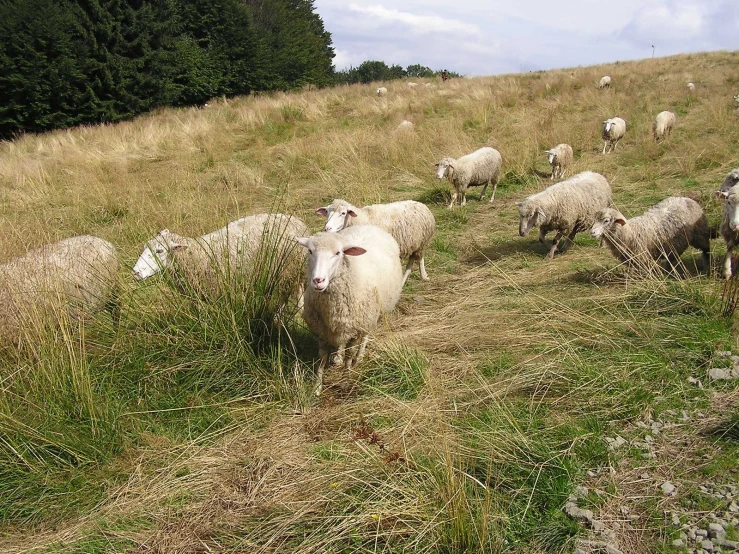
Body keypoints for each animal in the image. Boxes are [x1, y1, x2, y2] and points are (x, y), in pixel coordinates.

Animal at [294, 222, 404, 394]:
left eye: (337, 253)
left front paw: (346, 380)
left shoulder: (356, 328)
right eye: (310, 251)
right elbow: (321, 358)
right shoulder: (321, 330)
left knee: (365, 336)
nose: (318, 280)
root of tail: (370, 226)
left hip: (373, 316)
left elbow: (349, 355)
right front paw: (317, 387)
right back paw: (336, 356)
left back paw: (359, 356)